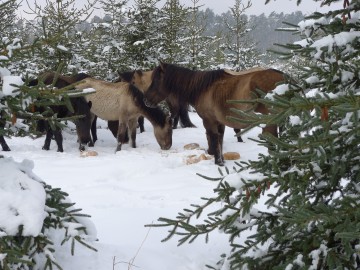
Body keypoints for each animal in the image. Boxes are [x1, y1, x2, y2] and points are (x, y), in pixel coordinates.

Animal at [143, 62, 286, 166]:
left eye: (156, 80)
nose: (145, 100)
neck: (204, 88)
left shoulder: (209, 121)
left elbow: (213, 139)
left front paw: (218, 162)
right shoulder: (219, 122)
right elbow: (220, 141)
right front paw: (221, 160)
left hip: (269, 123)